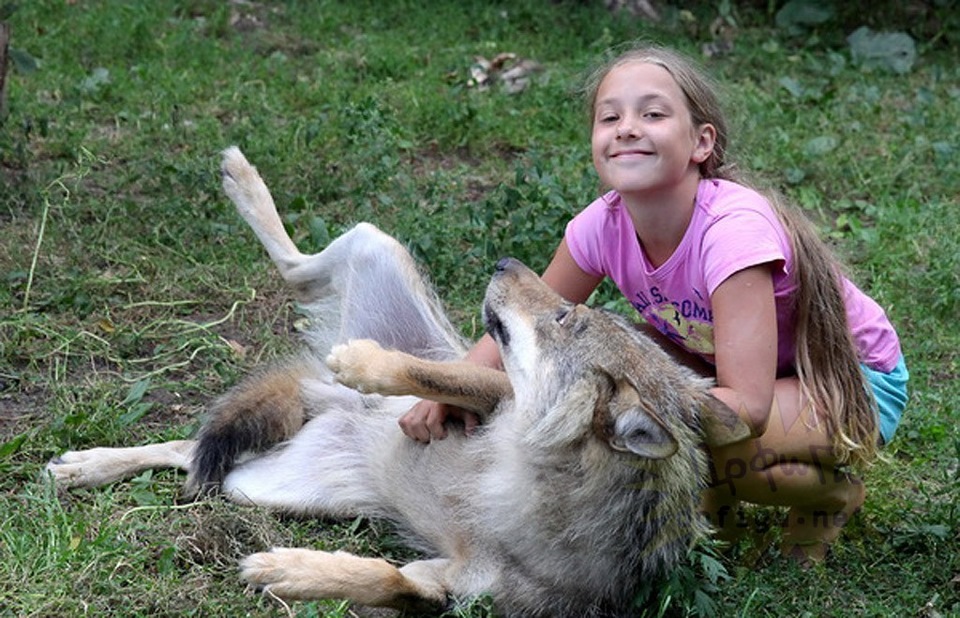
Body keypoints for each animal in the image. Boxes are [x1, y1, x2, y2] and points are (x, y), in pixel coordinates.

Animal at [45, 147, 752, 612]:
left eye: (565, 315)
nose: (506, 261)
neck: (532, 479)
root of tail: (323, 399)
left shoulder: (453, 590)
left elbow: (384, 578)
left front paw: (288, 570)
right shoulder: (496, 397)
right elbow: (434, 376)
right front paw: (369, 365)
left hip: (252, 485)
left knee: (187, 452)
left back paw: (84, 468)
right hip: (370, 243)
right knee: (295, 271)